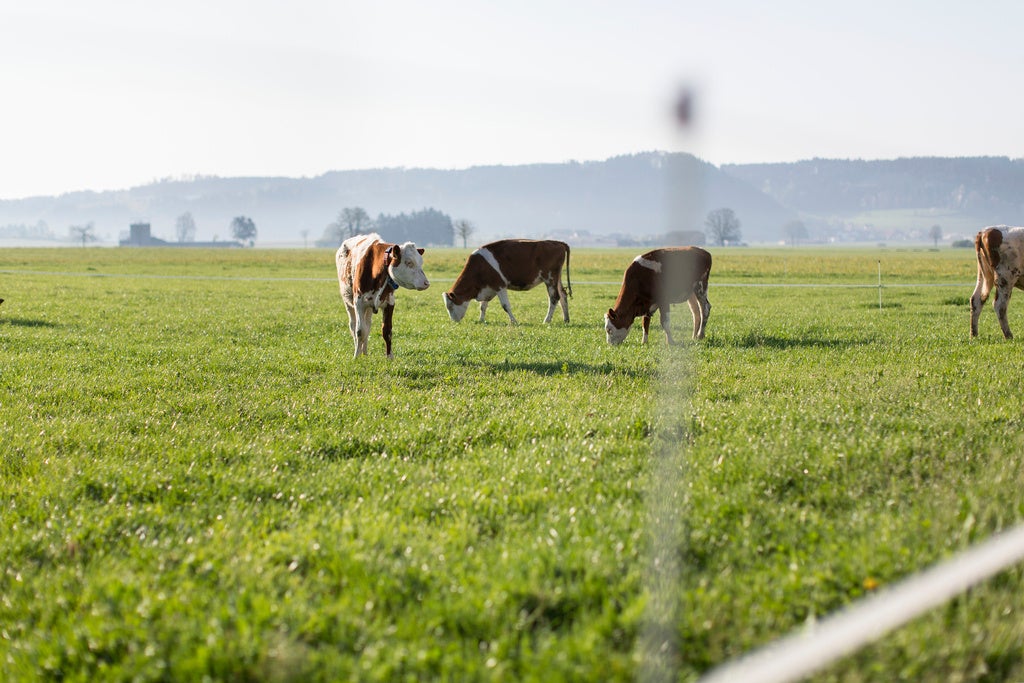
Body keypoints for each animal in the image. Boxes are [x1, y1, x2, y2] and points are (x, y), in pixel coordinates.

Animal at [444, 239, 573, 325]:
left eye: (450, 306)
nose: (454, 321)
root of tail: (557, 242)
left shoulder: (499, 285)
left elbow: (505, 306)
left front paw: (514, 321)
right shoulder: (488, 287)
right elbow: (483, 306)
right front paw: (481, 320)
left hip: (550, 279)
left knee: (554, 298)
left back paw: (547, 320)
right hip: (557, 278)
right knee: (563, 295)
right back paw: (566, 319)